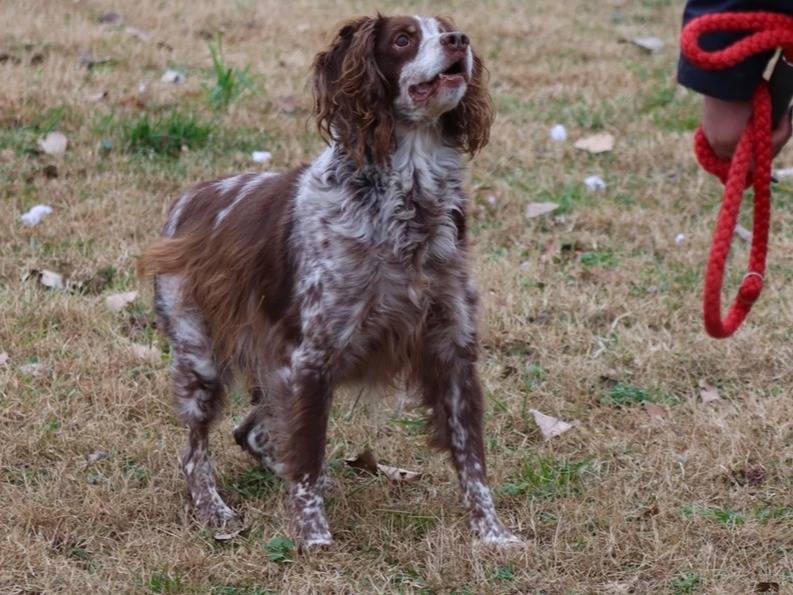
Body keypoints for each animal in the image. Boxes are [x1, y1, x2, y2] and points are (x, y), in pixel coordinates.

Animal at [138, 14, 516, 548]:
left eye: (447, 27)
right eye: (403, 39)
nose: (459, 41)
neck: (406, 205)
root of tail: (189, 199)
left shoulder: (452, 349)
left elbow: (473, 463)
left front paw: (493, 534)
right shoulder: (313, 357)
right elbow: (308, 457)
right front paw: (313, 538)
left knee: (251, 431)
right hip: (202, 358)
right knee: (195, 452)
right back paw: (214, 510)